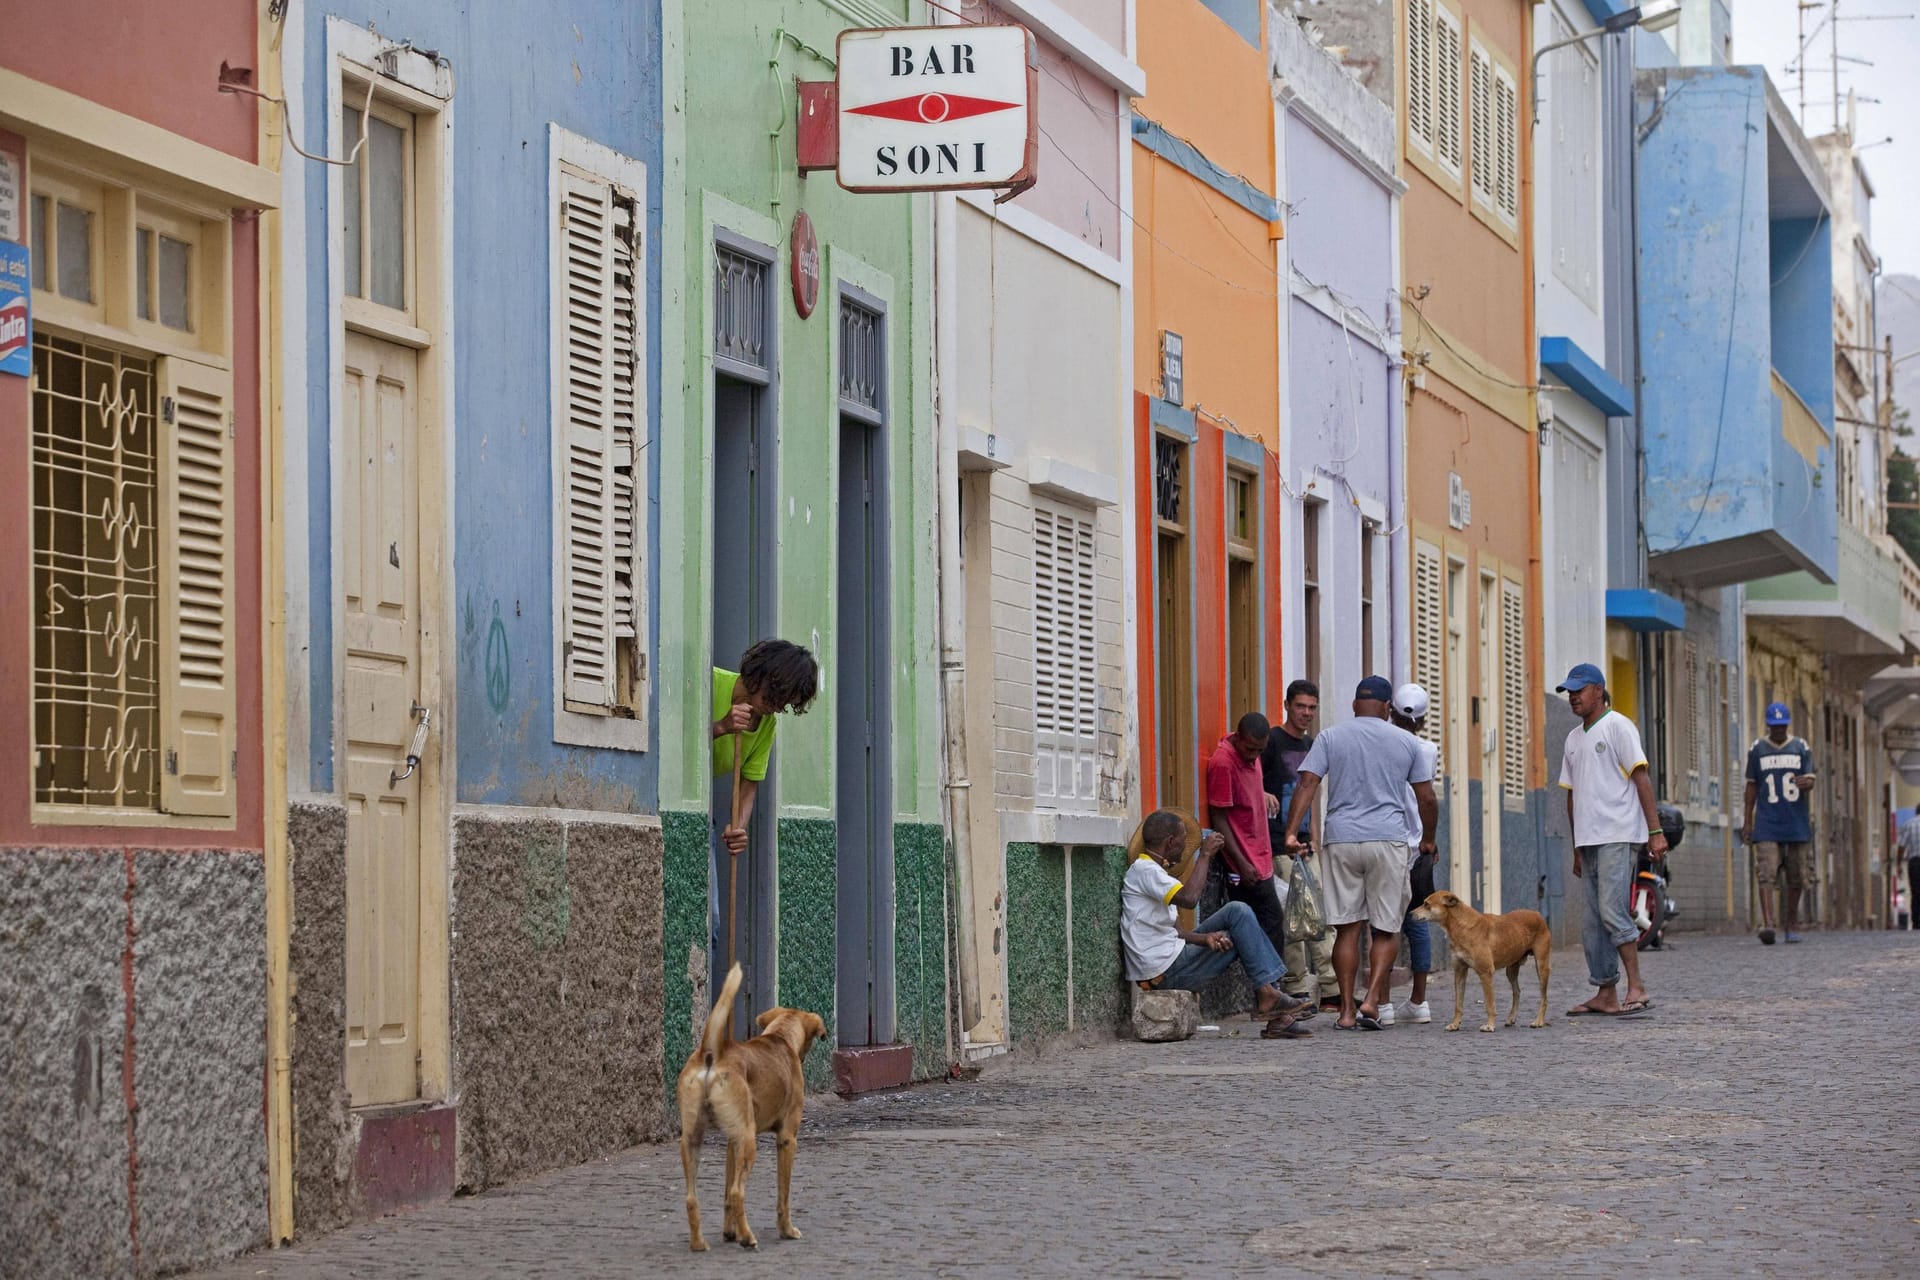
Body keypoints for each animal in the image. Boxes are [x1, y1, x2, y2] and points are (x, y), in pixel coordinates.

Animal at [675, 959, 825, 1251]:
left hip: (695, 1140)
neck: (780, 1037)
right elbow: (783, 1195)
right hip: (749, 1140)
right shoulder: (787, 1138)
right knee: (737, 1191)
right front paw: (786, 1230)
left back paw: (699, 1243)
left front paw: (729, 1232)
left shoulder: (731, 1143)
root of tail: (712, 1052)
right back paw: (748, 1238)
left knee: (692, 1197)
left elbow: (725, 1195)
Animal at [1420, 898, 1551, 1036]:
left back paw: (1539, 1021)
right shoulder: (1459, 971)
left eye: (1426, 904)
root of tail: (1537, 914)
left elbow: (1489, 1004)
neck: (1462, 926)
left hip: (1541, 967)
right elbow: (1458, 1004)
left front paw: (1490, 1025)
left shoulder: (1485, 973)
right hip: (1511, 970)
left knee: (1544, 998)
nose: (1412, 914)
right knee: (1517, 992)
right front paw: (1455, 1024)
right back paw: (1511, 1018)